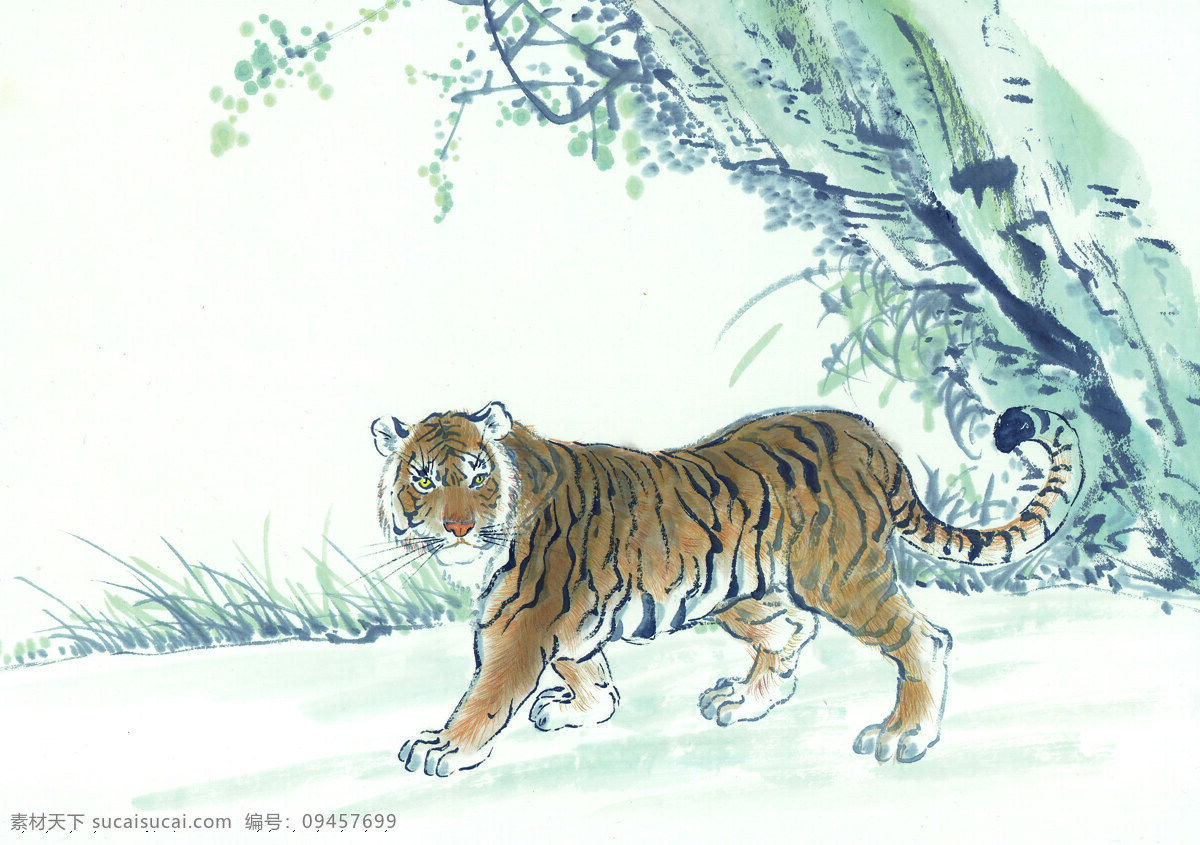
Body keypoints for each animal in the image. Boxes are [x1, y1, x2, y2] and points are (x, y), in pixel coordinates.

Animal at [370, 402, 1080, 776]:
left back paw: (902, 735)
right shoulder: (567, 622)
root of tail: (873, 437)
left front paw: (443, 748)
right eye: (425, 480)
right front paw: (581, 709)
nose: (458, 528)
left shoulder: (520, 622)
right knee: (792, 630)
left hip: (843, 577)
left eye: (477, 474)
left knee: (924, 638)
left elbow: (486, 696)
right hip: (745, 593)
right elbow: (591, 676)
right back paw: (741, 701)